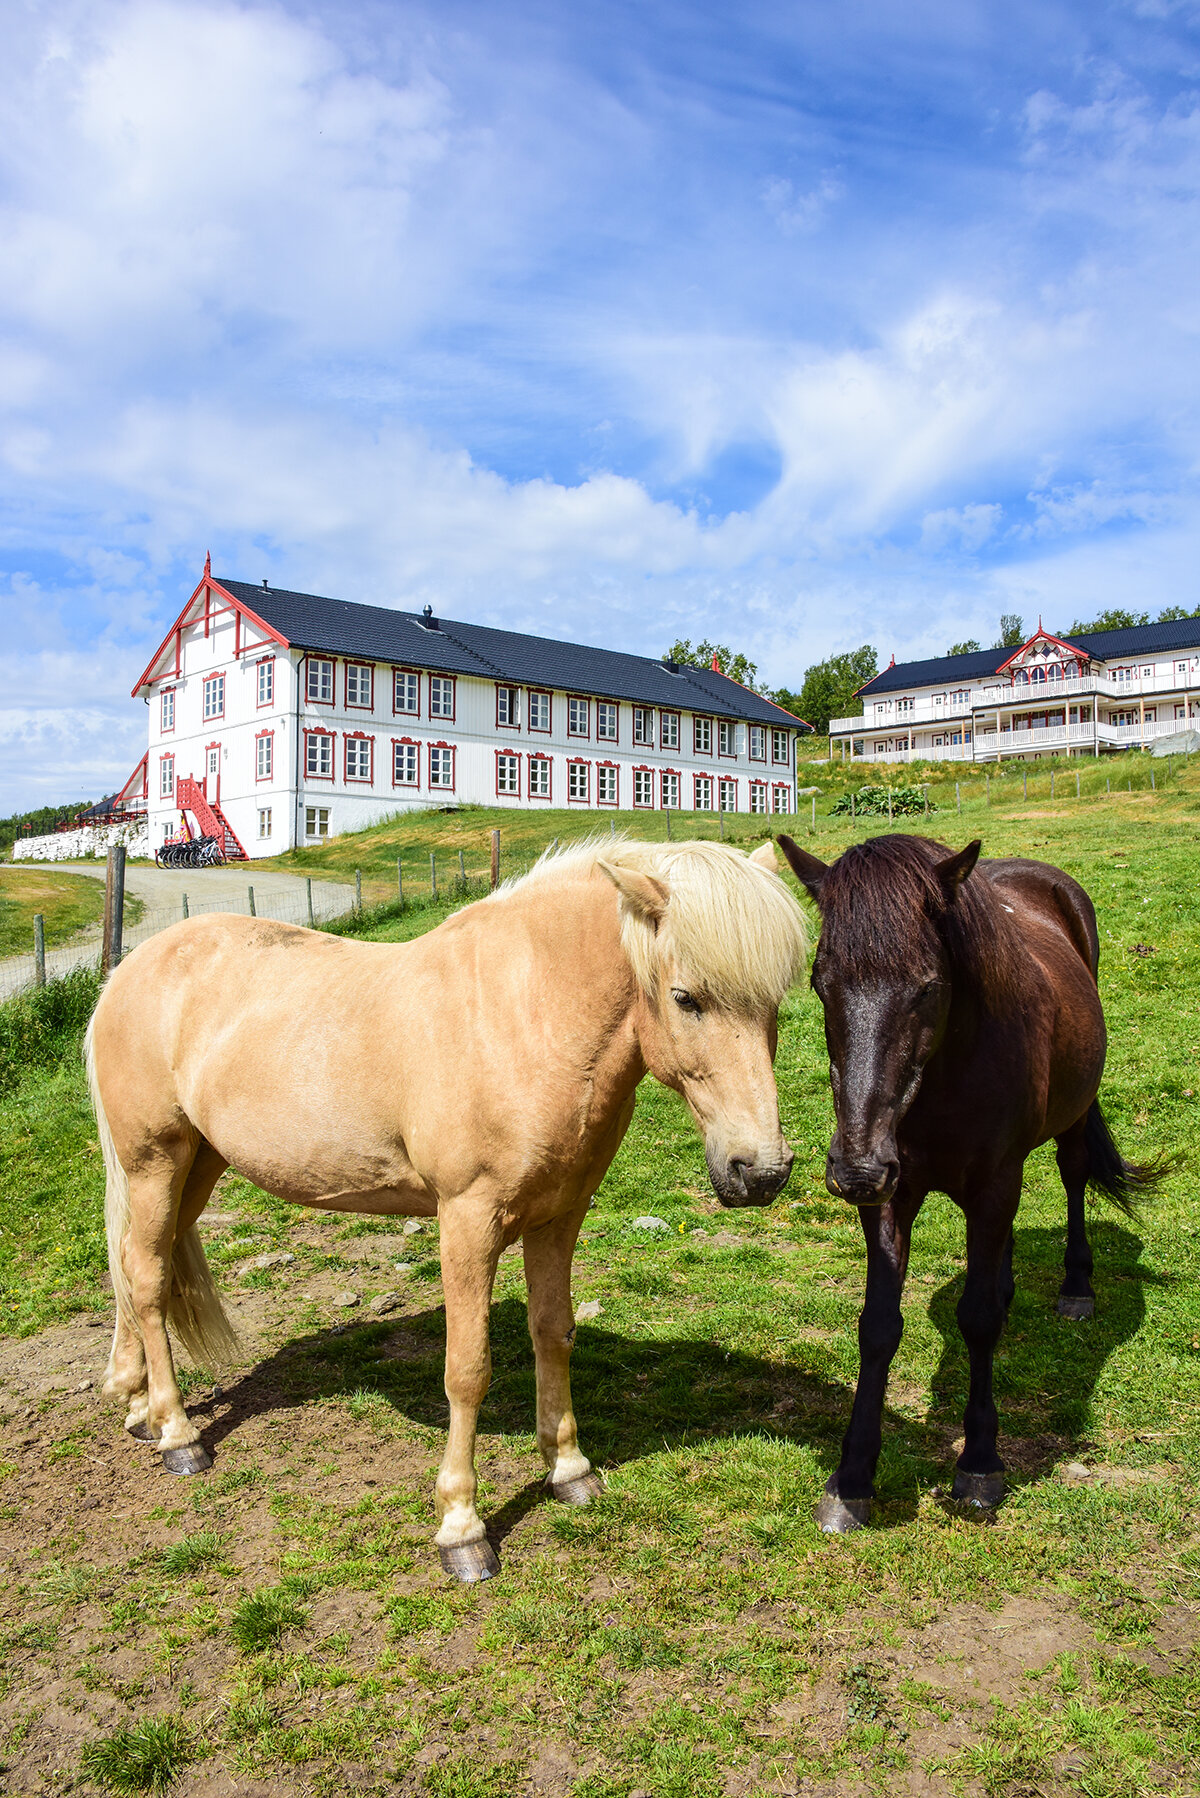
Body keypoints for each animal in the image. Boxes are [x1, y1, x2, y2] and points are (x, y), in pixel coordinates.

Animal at [84, 837, 805, 1575]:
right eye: (687, 998)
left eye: (776, 1000)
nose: (760, 1172)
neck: (524, 1017)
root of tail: (127, 972)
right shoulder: (467, 1222)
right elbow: (467, 1370)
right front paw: (461, 1526)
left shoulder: (559, 1216)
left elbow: (554, 1333)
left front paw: (569, 1468)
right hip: (155, 1161)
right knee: (146, 1277)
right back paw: (178, 1435)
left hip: (197, 1163)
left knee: (139, 1265)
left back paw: (137, 1406)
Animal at [773, 830, 1158, 1531]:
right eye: (819, 982)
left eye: (927, 987)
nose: (855, 1169)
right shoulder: (892, 1197)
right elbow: (879, 1325)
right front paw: (852, 1478)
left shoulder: (991, 1183)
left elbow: (977, 1320)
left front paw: (979, 1464)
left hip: (1067, 1125)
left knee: (1073, 1177)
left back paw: (1077, 1287)